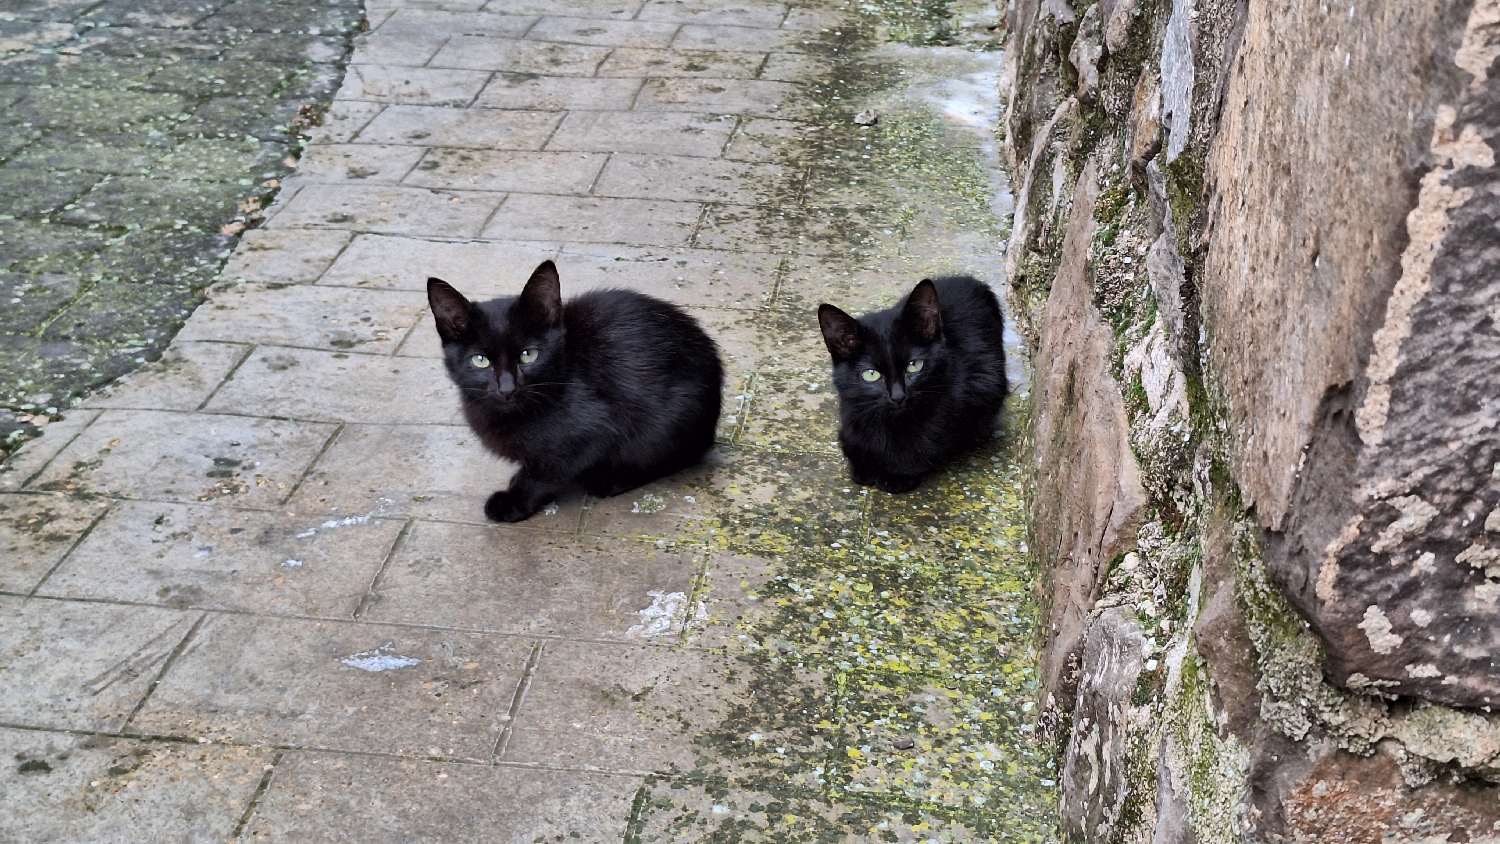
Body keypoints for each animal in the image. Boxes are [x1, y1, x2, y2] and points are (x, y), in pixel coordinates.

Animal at [426, 260, 723, 521]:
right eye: (480, 360)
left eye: (528, 355)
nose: (507, 388)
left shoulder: (591, 431)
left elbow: (544, 473)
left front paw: (514, 500)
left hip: (674, 419)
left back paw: (610, 479)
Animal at [822, 277, 1008, 491]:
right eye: (871, 374)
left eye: (914, 365)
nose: (898, 396)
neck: (889, 425)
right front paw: (863, 465)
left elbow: (919, 447)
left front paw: (896, 475)